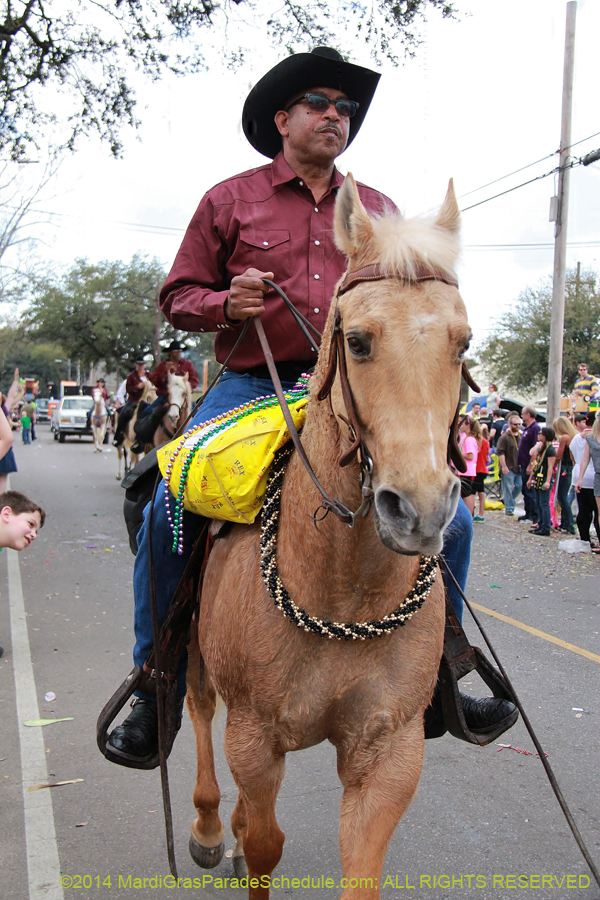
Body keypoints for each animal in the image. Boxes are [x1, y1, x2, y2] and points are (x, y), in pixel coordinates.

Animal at [185, 178, 472, 900]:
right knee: (199, 711)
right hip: (197, 657)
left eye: (462, 343)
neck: (344, 588)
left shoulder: (389, 751)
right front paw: (237, 841)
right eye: (361, 342)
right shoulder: (256, 740)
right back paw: (208, 829)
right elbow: (265, 844)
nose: (419, 511)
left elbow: (358, 870)